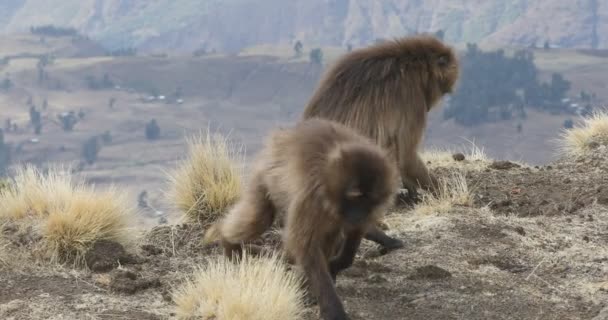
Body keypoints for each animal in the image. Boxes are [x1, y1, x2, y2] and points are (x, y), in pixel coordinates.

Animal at [209, 118, 400, 320]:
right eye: (355, 197)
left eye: (369, 200)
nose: (358, 215)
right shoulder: (311, 197)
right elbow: (305, 245)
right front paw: (332, 309)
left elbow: (352, 239)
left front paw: (336, 265)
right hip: (266, 177)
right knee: (259, 218)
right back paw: (226, 240)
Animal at [300, 34, 460, 250]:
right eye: (442, 90)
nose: (429, 107)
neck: (412, 61)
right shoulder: (412, 97)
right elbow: (406, 156)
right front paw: (446, 193)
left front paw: (413, 192)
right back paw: (378, 235)